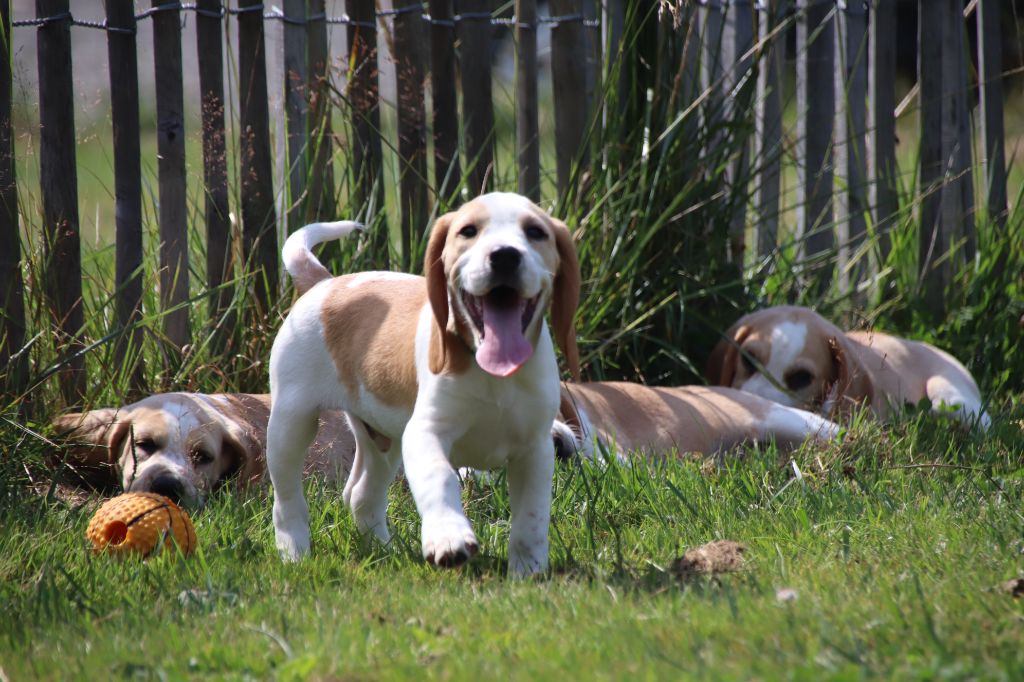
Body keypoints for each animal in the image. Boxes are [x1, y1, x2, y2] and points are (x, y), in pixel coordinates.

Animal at [268, 192, 581, 573]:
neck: (491, 369)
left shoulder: (534, 450)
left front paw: (528, 573)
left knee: (361, 495)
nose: (505, 255)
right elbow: (439, 478)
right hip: (291, 423)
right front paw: (448, 538)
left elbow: (532, 517)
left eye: (536, 232)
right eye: (468, 231)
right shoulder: (425, 433)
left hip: (381, 439)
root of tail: (325, 283)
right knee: (287, 500)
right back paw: (294, 554)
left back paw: (383, 551)